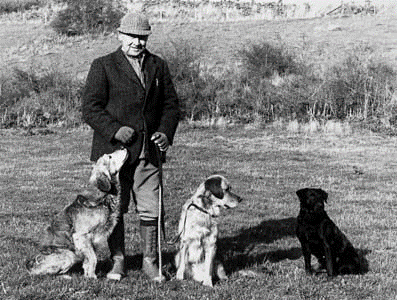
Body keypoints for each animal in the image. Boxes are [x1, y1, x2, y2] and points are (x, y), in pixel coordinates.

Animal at [26, 148, 127, 278]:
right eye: (110, 156)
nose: (123, 147)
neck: (103, 196)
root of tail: (29, 267)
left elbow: (88, 260)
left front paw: (87, 274)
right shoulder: (81, 236)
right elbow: (93, 258)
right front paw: (92, 277)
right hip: (68, 255)